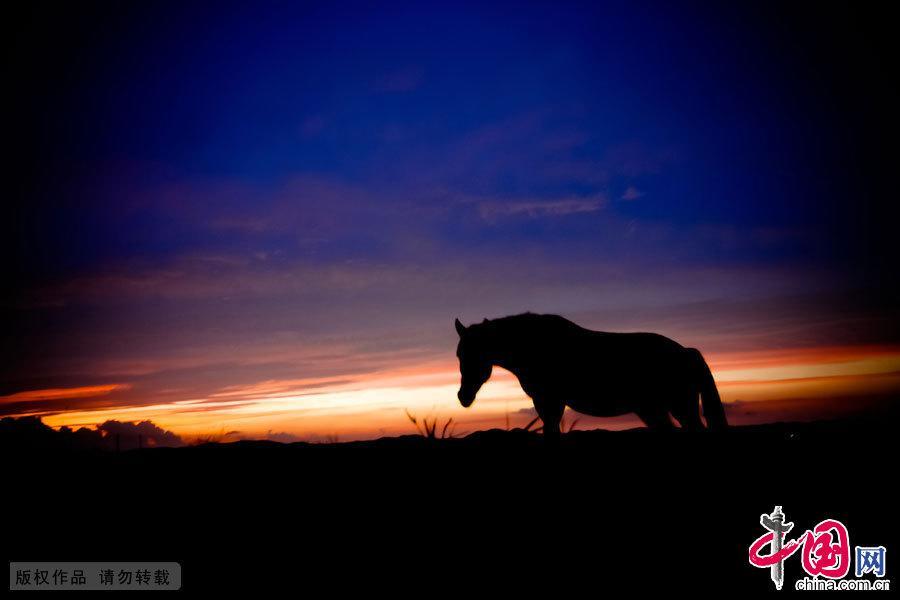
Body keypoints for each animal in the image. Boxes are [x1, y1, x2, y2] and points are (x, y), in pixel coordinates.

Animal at [454, 314, 728, 436]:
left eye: (473, 354)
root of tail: (687, 352)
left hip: (680, 406)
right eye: (459, 355)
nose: (463, 397)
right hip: (654, 409)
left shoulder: (549, 401)